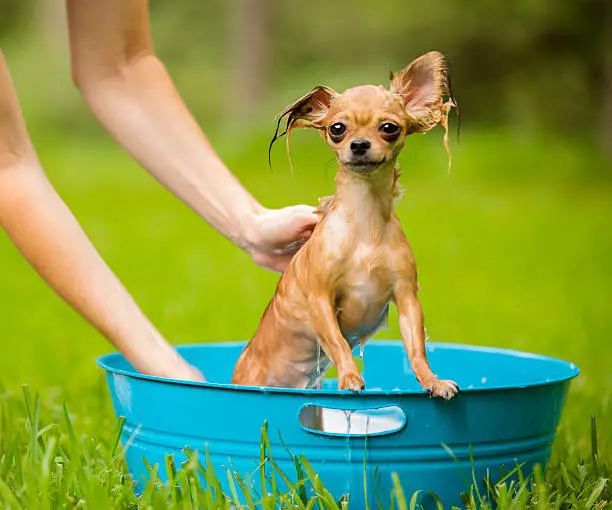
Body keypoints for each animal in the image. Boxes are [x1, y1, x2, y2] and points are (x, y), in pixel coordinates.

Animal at [233, 51, 460, 400]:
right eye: (337, 128)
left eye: (389, 128)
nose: (359, 144)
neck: (365, 222)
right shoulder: (320, 300)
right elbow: (338, 343)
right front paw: (350, 376)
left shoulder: (407, 297)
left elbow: (416, 349)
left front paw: (432, 380)